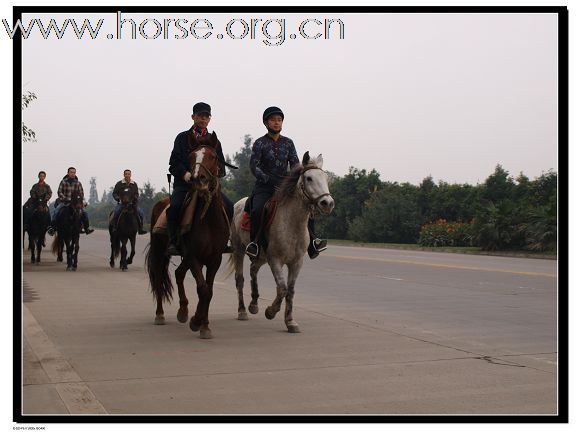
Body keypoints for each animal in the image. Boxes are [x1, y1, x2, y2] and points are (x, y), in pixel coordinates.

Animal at [146, 133, 230, 340]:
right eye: (191, 157)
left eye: (213, 157)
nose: (198, 179)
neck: (208, 219)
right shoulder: (194, 256)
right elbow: (202, 289)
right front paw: (196, 321)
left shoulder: (214, 259)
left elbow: (209, 290)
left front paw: (204, 325)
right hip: (160, 251)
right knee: (159, 278)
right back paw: (160, 315)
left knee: (178, 273)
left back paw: (183, 311)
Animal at [228, 153, 336, 334]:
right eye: (309, 178)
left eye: (326, 178)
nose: (327, 203)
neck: (292, 223)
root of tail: (238, 203)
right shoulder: (275, 260)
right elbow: (282, 288)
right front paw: (270, 312)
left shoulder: (296, 262)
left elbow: (290, 291)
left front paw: (290, 322)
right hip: (239, 250)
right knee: (240, 279)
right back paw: (242, 310)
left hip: (261, 256)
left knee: (253, 270)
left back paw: (253, 304)